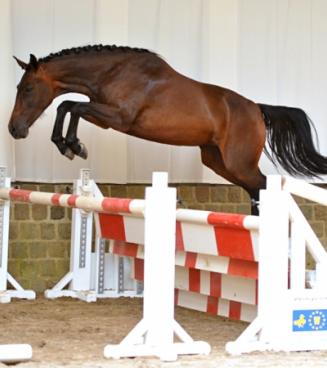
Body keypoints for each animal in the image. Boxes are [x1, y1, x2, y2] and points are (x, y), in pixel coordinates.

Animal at [8, 45, 327, 216]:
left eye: (28, 89)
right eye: (19, 87)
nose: (14, 129)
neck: (112, 72)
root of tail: (257, 109)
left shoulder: (119, 117)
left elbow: (72, 107)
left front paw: (73, 146)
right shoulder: (104, 116)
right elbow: (68, 105)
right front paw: (67, 145)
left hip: (239, 163)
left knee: (261, 186)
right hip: (218, 161)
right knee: (255, 190)